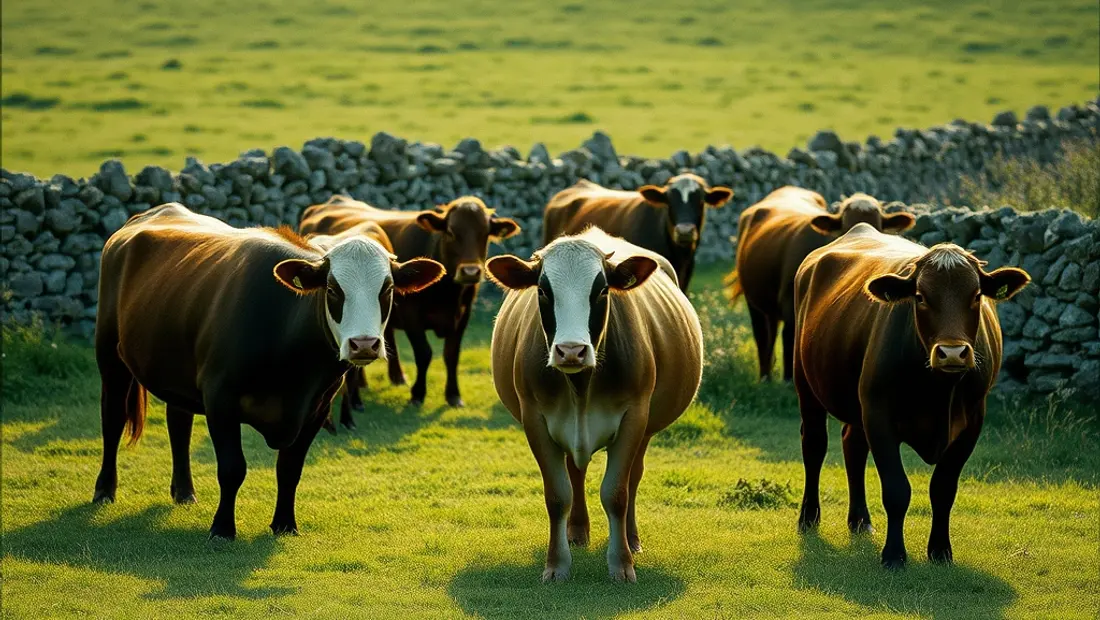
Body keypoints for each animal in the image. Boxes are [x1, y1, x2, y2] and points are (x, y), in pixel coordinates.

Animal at [93, 203, 444, 539]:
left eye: (387, 289)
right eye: (332, 289)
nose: (364, 344)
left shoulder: (316, 408)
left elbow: (290, 469)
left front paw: (285, 524)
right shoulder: (220, 398)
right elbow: (232, 468)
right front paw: (222, 529)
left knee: (178, 422)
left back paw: (184, 491)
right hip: (109, 355)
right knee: (113, 418)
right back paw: (104, 490)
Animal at [300, 195, 520, 407]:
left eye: (485, 233)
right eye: (451, 232)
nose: (470, 272)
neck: (447, 294)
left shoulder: (463, 314)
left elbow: (451, 355)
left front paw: (453, 395)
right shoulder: (411, 315)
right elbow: (424, 353)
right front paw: (418, 394)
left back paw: (394, 377)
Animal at [486, 227, 703, 583]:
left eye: (601, 290)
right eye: (543, 291)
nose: (571, 351)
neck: (580, 387)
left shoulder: (634, 416)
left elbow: (616, 492)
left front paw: (621, 563)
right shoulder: (534, 419)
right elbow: (557, 494)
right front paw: (556, 565)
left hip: (646, 428)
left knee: (633, 477)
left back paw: (631, 538)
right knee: (576, 472)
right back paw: (576, 531)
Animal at [727, 188, 916, 381]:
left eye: (879, 228)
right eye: (845, 229)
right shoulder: (789, 304)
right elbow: (789, 339)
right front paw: (788, 380)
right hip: (753, 300)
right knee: (762, 336)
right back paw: (765, 377)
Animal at [792, 223, 1029, 568]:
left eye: (976, 296)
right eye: (920, 296)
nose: (952, 353)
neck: (938, 392)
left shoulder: (972, 421)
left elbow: (943, 488)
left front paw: (941, 550)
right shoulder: (879, 414)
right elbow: (896, 490)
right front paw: (894, 554)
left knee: (853, 446)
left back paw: (860, 519)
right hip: (806, 384)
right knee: (814, 445)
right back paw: (809, 517)